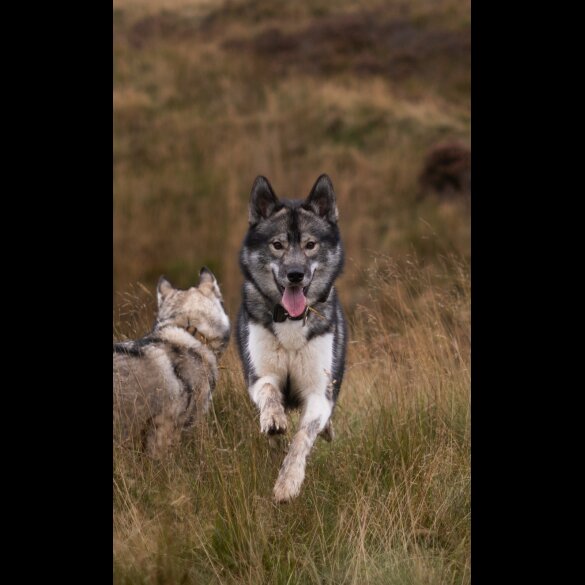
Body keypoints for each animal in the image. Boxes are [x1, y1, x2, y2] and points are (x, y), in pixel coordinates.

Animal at [236, 173, 346, 502]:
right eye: (277, 245)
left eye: (310, 245)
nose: (295, 274)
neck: (291, 322)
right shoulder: (260, 375)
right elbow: (270, 393)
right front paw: (274, 420)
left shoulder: (317, 391)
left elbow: (302, 439)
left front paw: (288, 483)